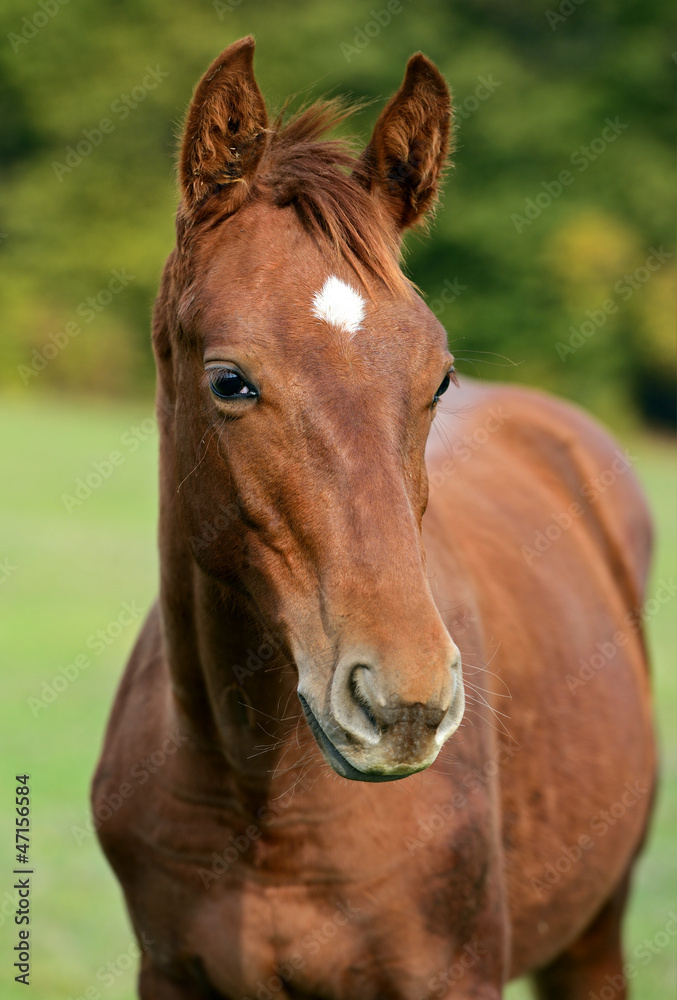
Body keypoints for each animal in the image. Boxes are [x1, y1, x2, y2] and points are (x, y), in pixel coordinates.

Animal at [93, 36, 656, 999]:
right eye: (229, 381)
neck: (258, 796)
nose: (406, 704)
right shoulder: (166, 973)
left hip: (594, 935)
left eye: (438, 377)